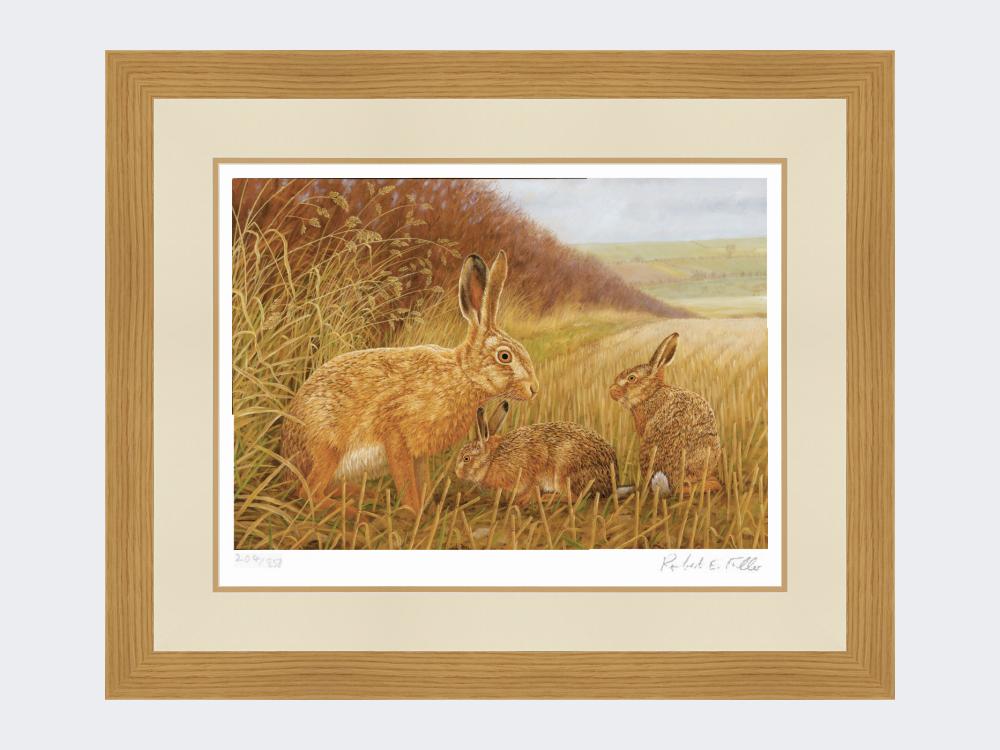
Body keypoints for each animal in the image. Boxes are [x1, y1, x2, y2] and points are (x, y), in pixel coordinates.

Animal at [281, 251, 539, 512]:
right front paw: (413, 512)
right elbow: (405, 481)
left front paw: (428, 510)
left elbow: (422, 481)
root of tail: (287, 456)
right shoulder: (397, 434)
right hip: (328, 448)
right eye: (504, 356)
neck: (462, 374)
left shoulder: (419, 452)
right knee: (308, 492)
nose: (533, 389)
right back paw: (355, 512)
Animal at [454, 401, 622, 504]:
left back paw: (548, 498)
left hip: (565, 472)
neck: (492, 458)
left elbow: (532, 485)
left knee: (576, 497)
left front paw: (522, 500)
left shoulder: (531, 467)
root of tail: (611, 482)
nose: (456, 473)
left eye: (466, 458)